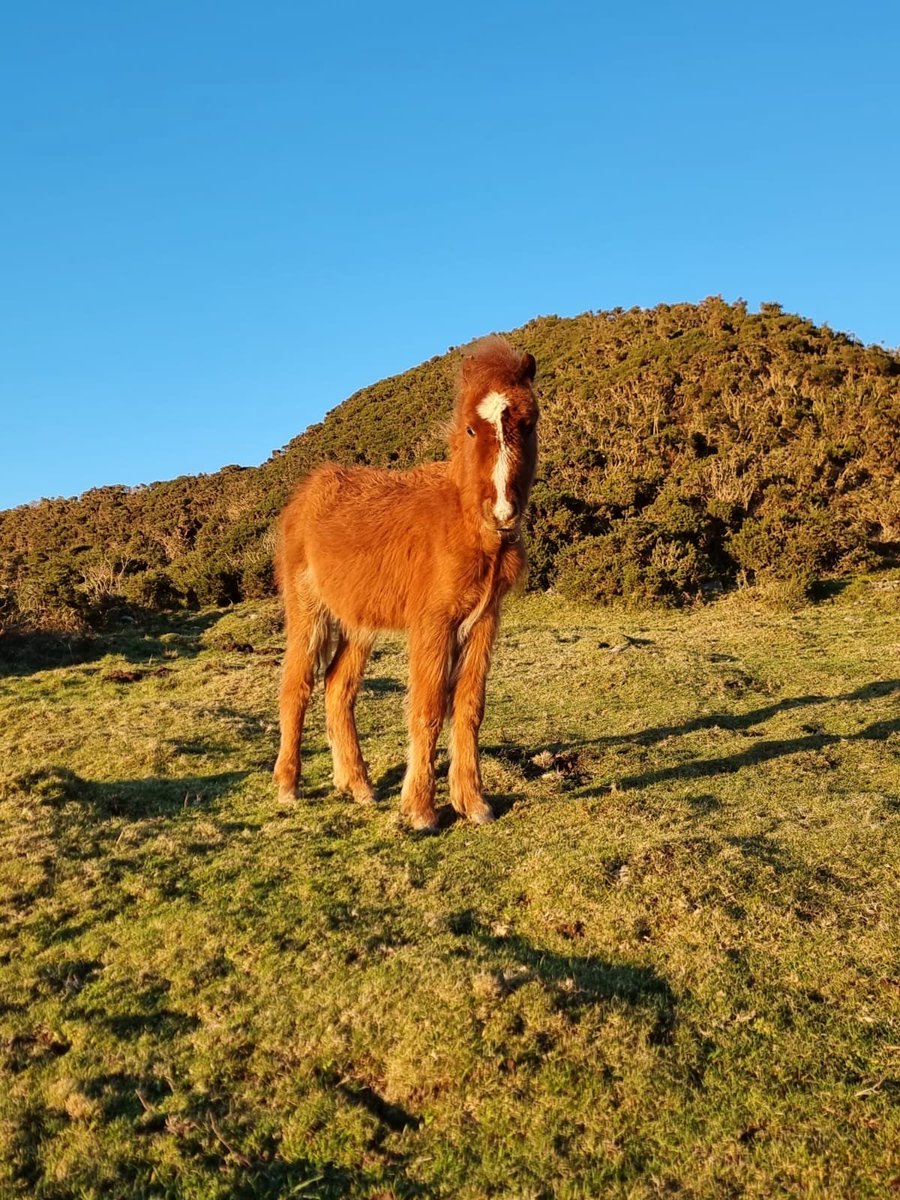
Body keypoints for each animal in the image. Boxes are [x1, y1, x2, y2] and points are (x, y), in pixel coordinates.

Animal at [273, 337, 538, 831]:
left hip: (358, 621)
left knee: (338, 687)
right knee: (296, 686)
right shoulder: (432, 623)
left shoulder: (484, 620)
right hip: (308, 611)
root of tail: (305, 493)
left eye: (527, 425)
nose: (503, 513)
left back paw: (357, 786)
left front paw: (473, 803)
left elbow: (469, 708)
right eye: (470, 429)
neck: (464, 522)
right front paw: (420, 810)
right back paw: (288, 786)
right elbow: (428, 708)